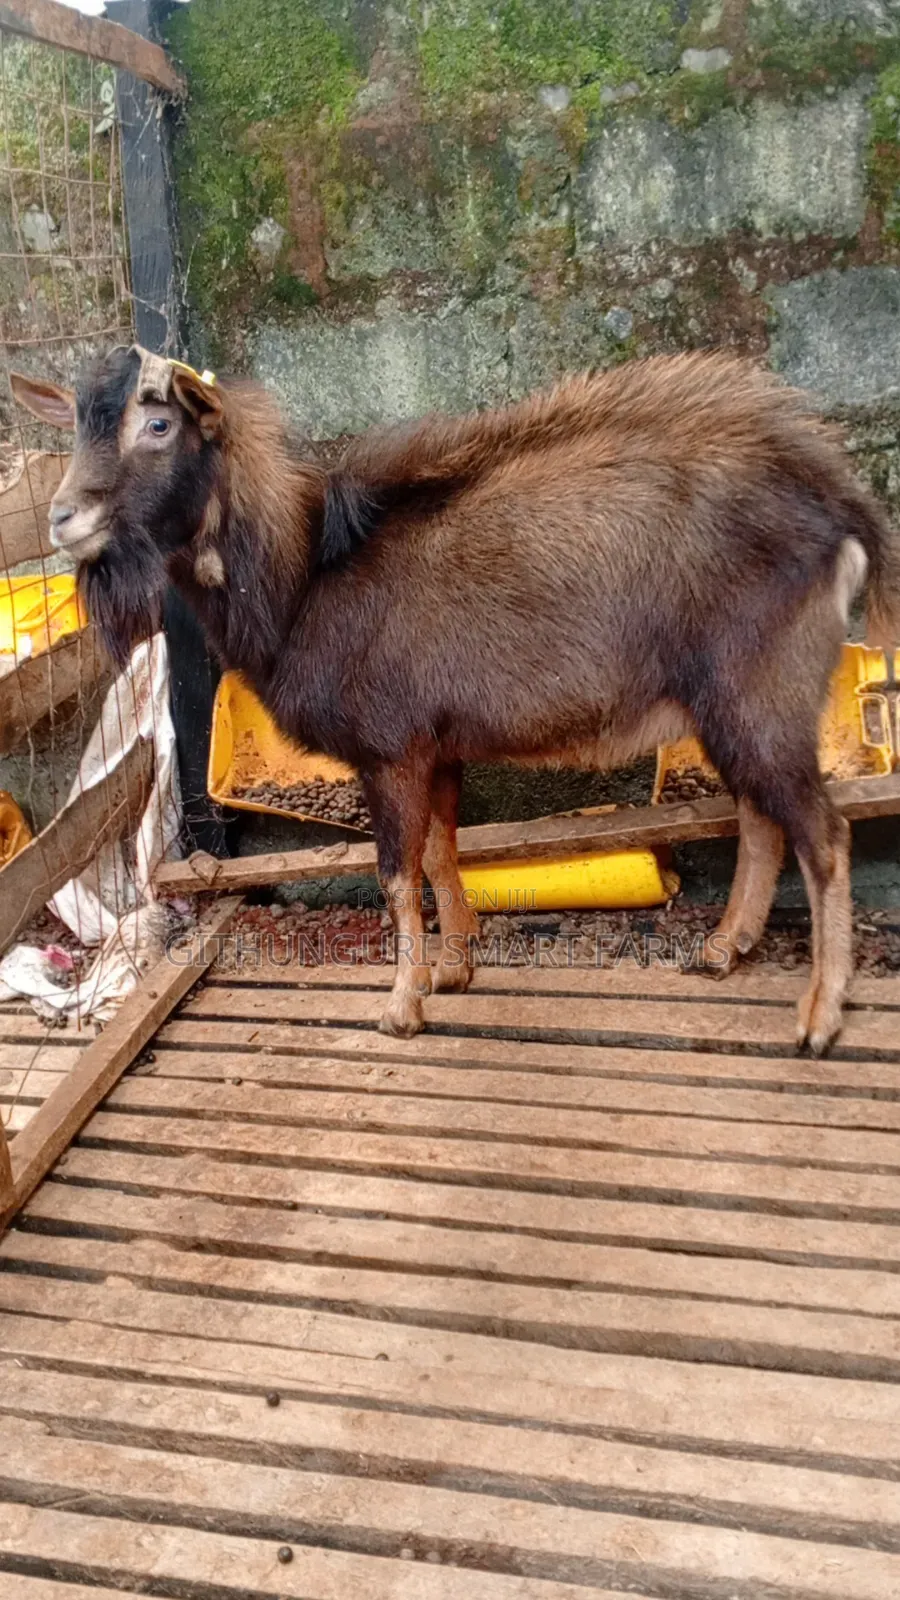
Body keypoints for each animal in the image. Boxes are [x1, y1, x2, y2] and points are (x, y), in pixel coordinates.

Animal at [13, 347, 900, 1048]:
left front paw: (402, 1007)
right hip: (732, 703)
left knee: (820, 829)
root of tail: (842, 505)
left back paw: (819, 1014)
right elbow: (442, 851)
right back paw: (723, 951)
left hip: (760, 687)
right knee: (761, 814)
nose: (63, 518)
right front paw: (455, 970)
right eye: (78, 426)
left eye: (158, 424)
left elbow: (397, 873)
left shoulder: (389, 748)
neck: (305, 577)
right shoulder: (435, 745)